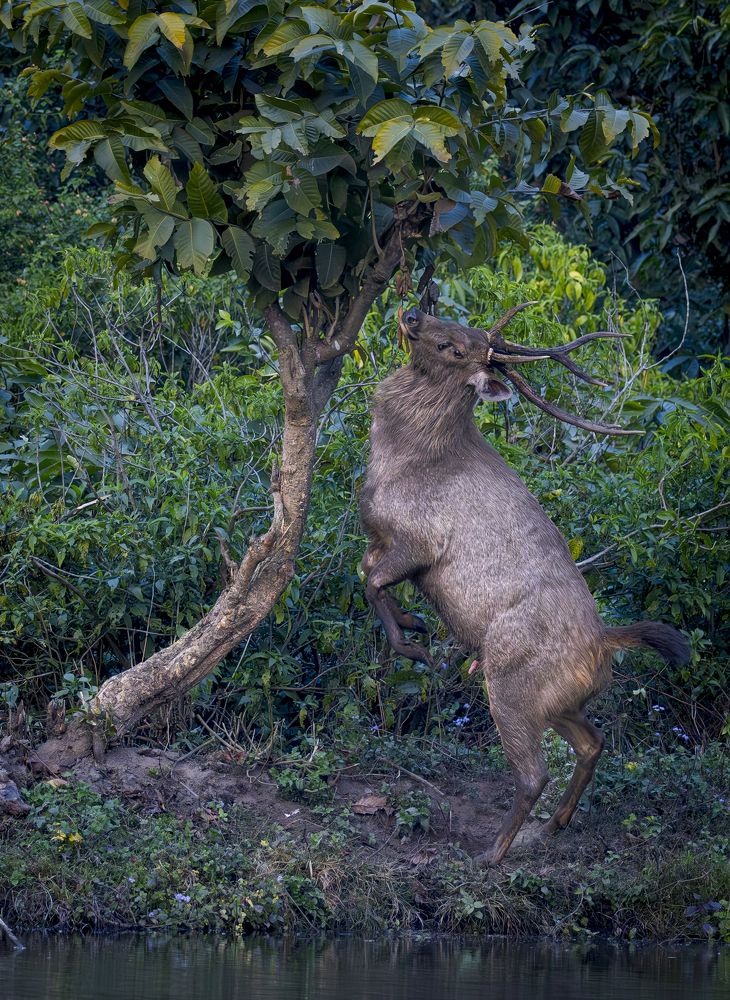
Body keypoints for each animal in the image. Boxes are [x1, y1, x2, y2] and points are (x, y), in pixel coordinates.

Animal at [359, 304, 690, 864]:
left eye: (455, 347)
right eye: (456, 323)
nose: (413, 313)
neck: (403, 458)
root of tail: (604, 644)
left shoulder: (419, 541)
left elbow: (373, 583)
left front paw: (413, 644)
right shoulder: (386, 540)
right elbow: (366, 571)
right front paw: (416, 623)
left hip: (512, 686)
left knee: (535, 772)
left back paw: (492, 853)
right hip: (560, 701)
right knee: (594, 741)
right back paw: (556, 823)